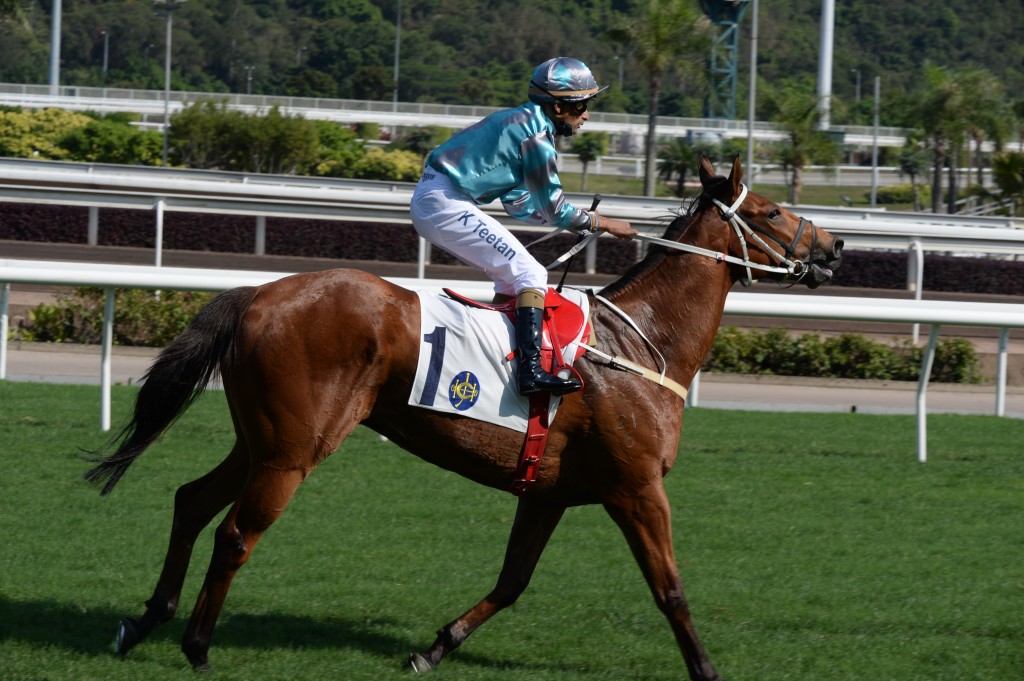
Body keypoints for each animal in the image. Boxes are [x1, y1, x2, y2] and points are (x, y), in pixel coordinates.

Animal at [86, 156, 839, 675]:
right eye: (773, 212)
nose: (832, 248)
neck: (640, 343)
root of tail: (254, 295)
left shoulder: (550, 491)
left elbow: (512, 580)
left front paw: (436, 646)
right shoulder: (637, 489)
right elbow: (671, 590)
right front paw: (706, 668)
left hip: (262, 441)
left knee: (192, 502)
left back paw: (143, 623)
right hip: (292, 452)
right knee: (236, 532)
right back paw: (197, 645)